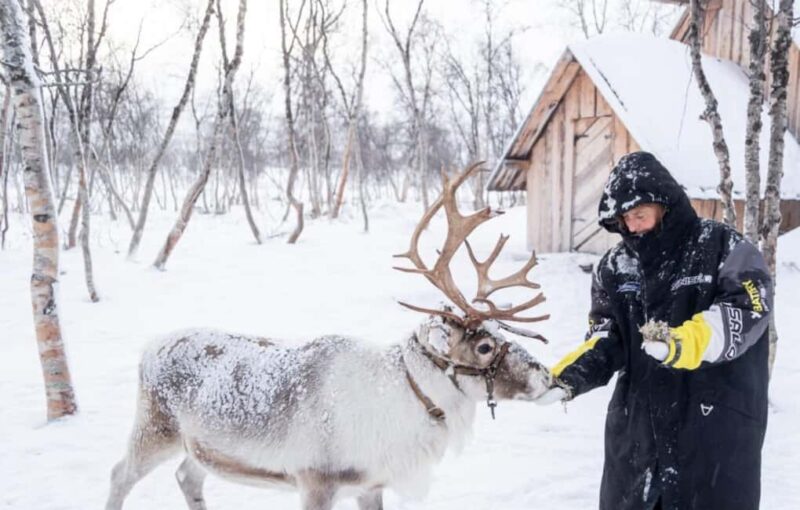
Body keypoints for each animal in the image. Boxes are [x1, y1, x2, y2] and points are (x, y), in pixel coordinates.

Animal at [105, 163, 558, 510]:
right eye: (484, 346)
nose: (550, 378)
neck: (404, 399)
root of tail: (149, 348)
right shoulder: (315, 481)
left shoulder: (370, 484)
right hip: (155, 430)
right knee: (119, 473)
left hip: (198, 446)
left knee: (188, 477)